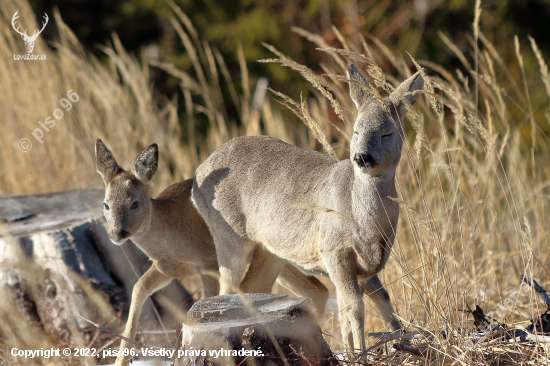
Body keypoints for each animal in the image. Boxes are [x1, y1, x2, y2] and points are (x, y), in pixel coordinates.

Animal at [94, 139, 330, 364]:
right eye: (106, 205)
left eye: (134, 203)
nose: (117, 233)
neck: (172, 232)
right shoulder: (166, 268)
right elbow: (138, 289)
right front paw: (121, 360)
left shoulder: (208, 262)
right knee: (317, 289)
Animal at [191, 64, 426, 356]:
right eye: (356, 131)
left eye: (387, 133)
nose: (361, 157)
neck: (367, 222)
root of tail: (197, 175)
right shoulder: (334, 248)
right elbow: (354, 309)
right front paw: (360, 354)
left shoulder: (363, 266)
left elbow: (378, 299)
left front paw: (401, 343)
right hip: (229, 236)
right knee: (225, 290)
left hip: (270, 250)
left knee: (251, 287)